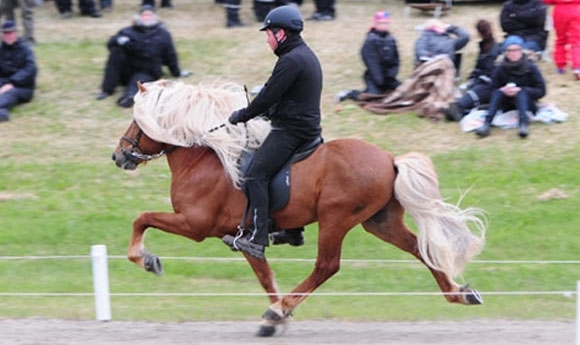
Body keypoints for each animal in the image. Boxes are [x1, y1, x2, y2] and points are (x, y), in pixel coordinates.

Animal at [112, 79, 484, 334]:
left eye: (137, 122)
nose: (119, 156)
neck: (207, 157)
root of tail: (390, 160)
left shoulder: (195, 224)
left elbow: (141, 219)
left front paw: (146, 259)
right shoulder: (245, 237)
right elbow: (265, 276)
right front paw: (277, 317)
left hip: (336, 219)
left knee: (326, 266)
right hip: (380, 222)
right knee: (420, 249)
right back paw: (459, 293)